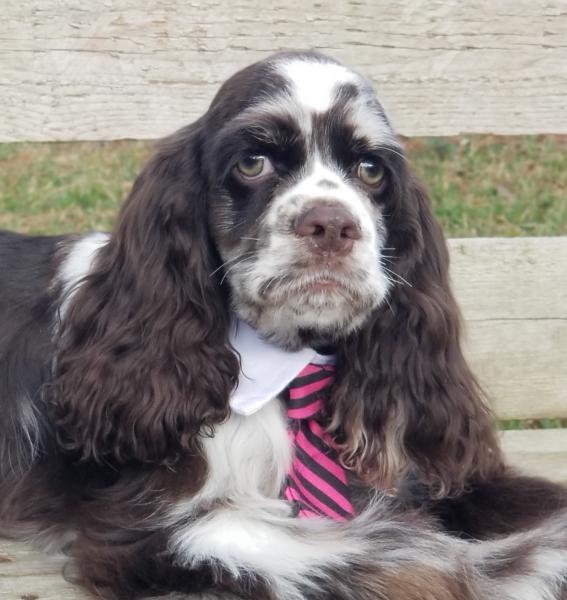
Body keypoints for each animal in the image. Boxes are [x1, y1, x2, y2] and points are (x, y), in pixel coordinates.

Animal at [1, 51, 567, 600]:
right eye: (253, 162)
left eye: (370, 168)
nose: (332, 224)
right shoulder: (150, 524)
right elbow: (390, 555)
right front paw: (509, 567)